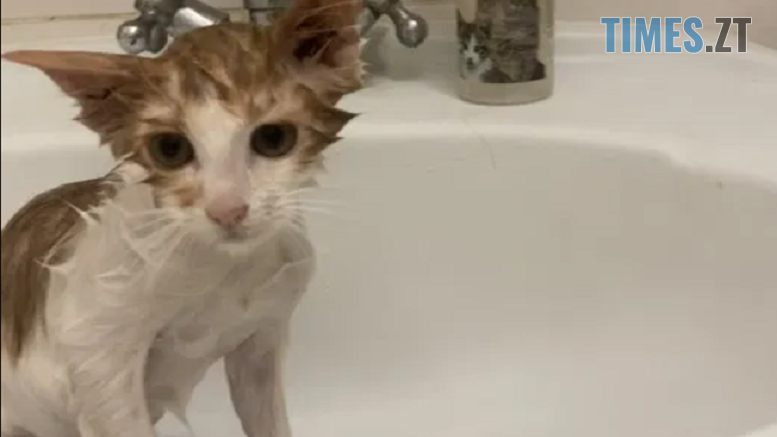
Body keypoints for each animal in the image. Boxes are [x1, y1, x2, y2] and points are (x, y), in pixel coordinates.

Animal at [0, 1, 363, 436]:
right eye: (170, 149)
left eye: (273, 139)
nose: (228, 210)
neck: (225, 269)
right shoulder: (100, 359)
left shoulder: (261, 342)